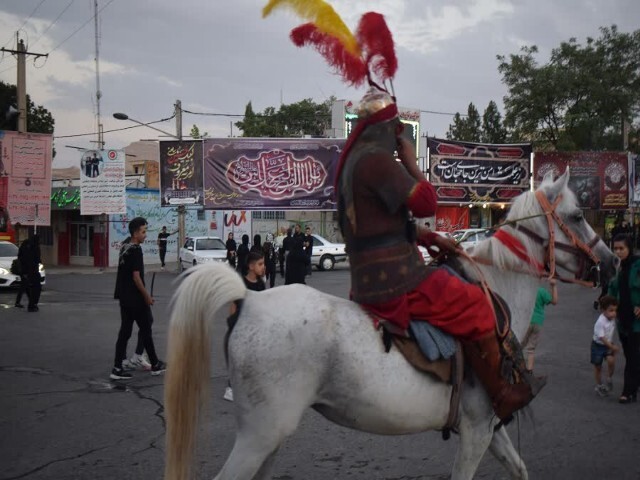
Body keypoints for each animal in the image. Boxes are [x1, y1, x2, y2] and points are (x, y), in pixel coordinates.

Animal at [162, 171, 616, 478]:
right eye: (577, 215)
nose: (610, 262)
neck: (497, 289)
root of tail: (250, 300)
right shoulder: (475, 432)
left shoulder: (489, 428)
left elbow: (520, 469)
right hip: (260, 436)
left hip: (268, 440)